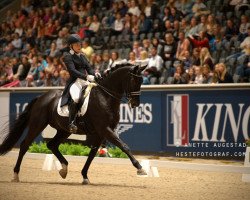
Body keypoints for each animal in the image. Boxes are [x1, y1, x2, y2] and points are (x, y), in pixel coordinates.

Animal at [0, 63, 146, 184]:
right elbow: (124, 146)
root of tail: (41, 97)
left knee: (52, 145)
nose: (135, 104)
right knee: (25, 145)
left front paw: (85, 176)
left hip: (64, 130)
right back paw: (15, 175)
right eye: (134, 80)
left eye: (142, 81)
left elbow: (92, 154)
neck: (105, 97)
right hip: (37, 124)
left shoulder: (101, 133)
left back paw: (63, 169)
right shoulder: (105, 129)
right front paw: (140, 168)